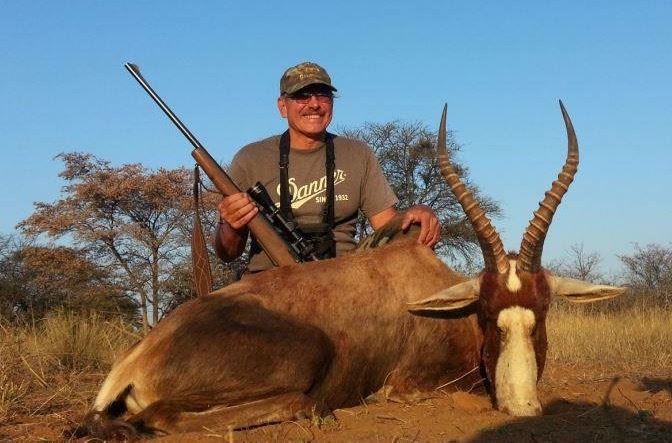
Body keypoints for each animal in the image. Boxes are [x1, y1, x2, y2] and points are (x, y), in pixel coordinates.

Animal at [79, 102, 624, 439]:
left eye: (543, 309)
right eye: (487, 314)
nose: (522, 409)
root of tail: (140, 355)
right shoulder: (409, 386)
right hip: (305, 357)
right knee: (174, 413)